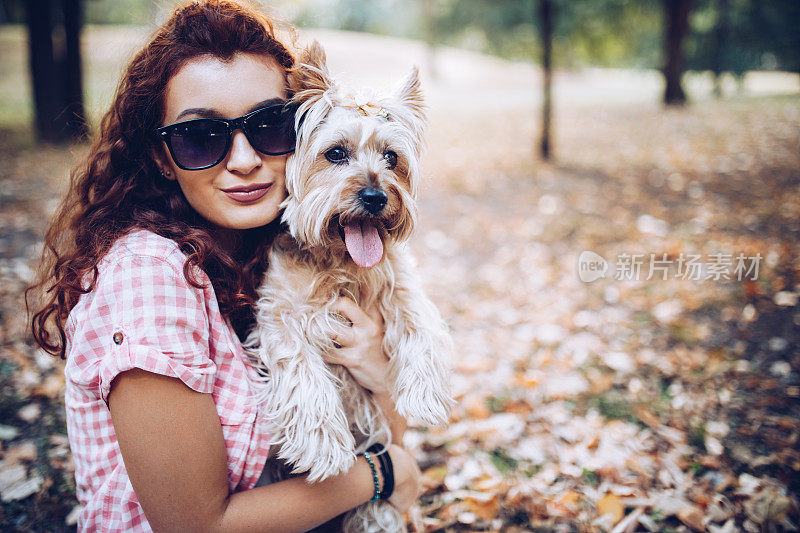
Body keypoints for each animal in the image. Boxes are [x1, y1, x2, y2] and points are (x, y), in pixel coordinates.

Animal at [244, 41, 454, 532]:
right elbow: (300, 366)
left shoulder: (400, 283)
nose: (376, 197)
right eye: (336, 153)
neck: (338, 260)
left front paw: (425, 396)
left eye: (392, 158)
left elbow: (420, 321)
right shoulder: (279, 313)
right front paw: (323, 445)